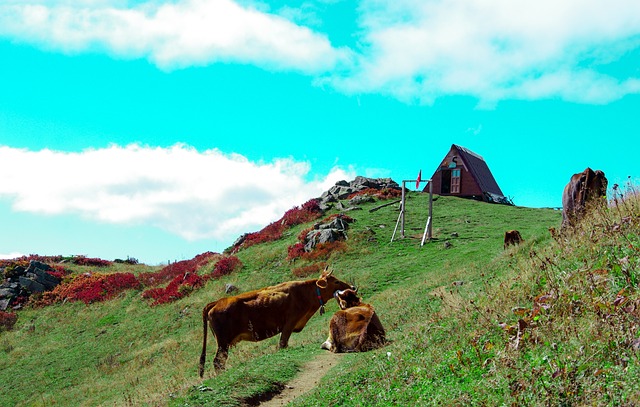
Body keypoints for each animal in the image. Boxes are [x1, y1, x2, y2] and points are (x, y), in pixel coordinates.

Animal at [199, 268, 352, 376]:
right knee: (218, 361)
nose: (352, 287)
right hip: (223, 342)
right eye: (336, 281)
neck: (305, 294)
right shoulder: (289, 323)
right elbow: (282, 344)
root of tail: (217, 302)